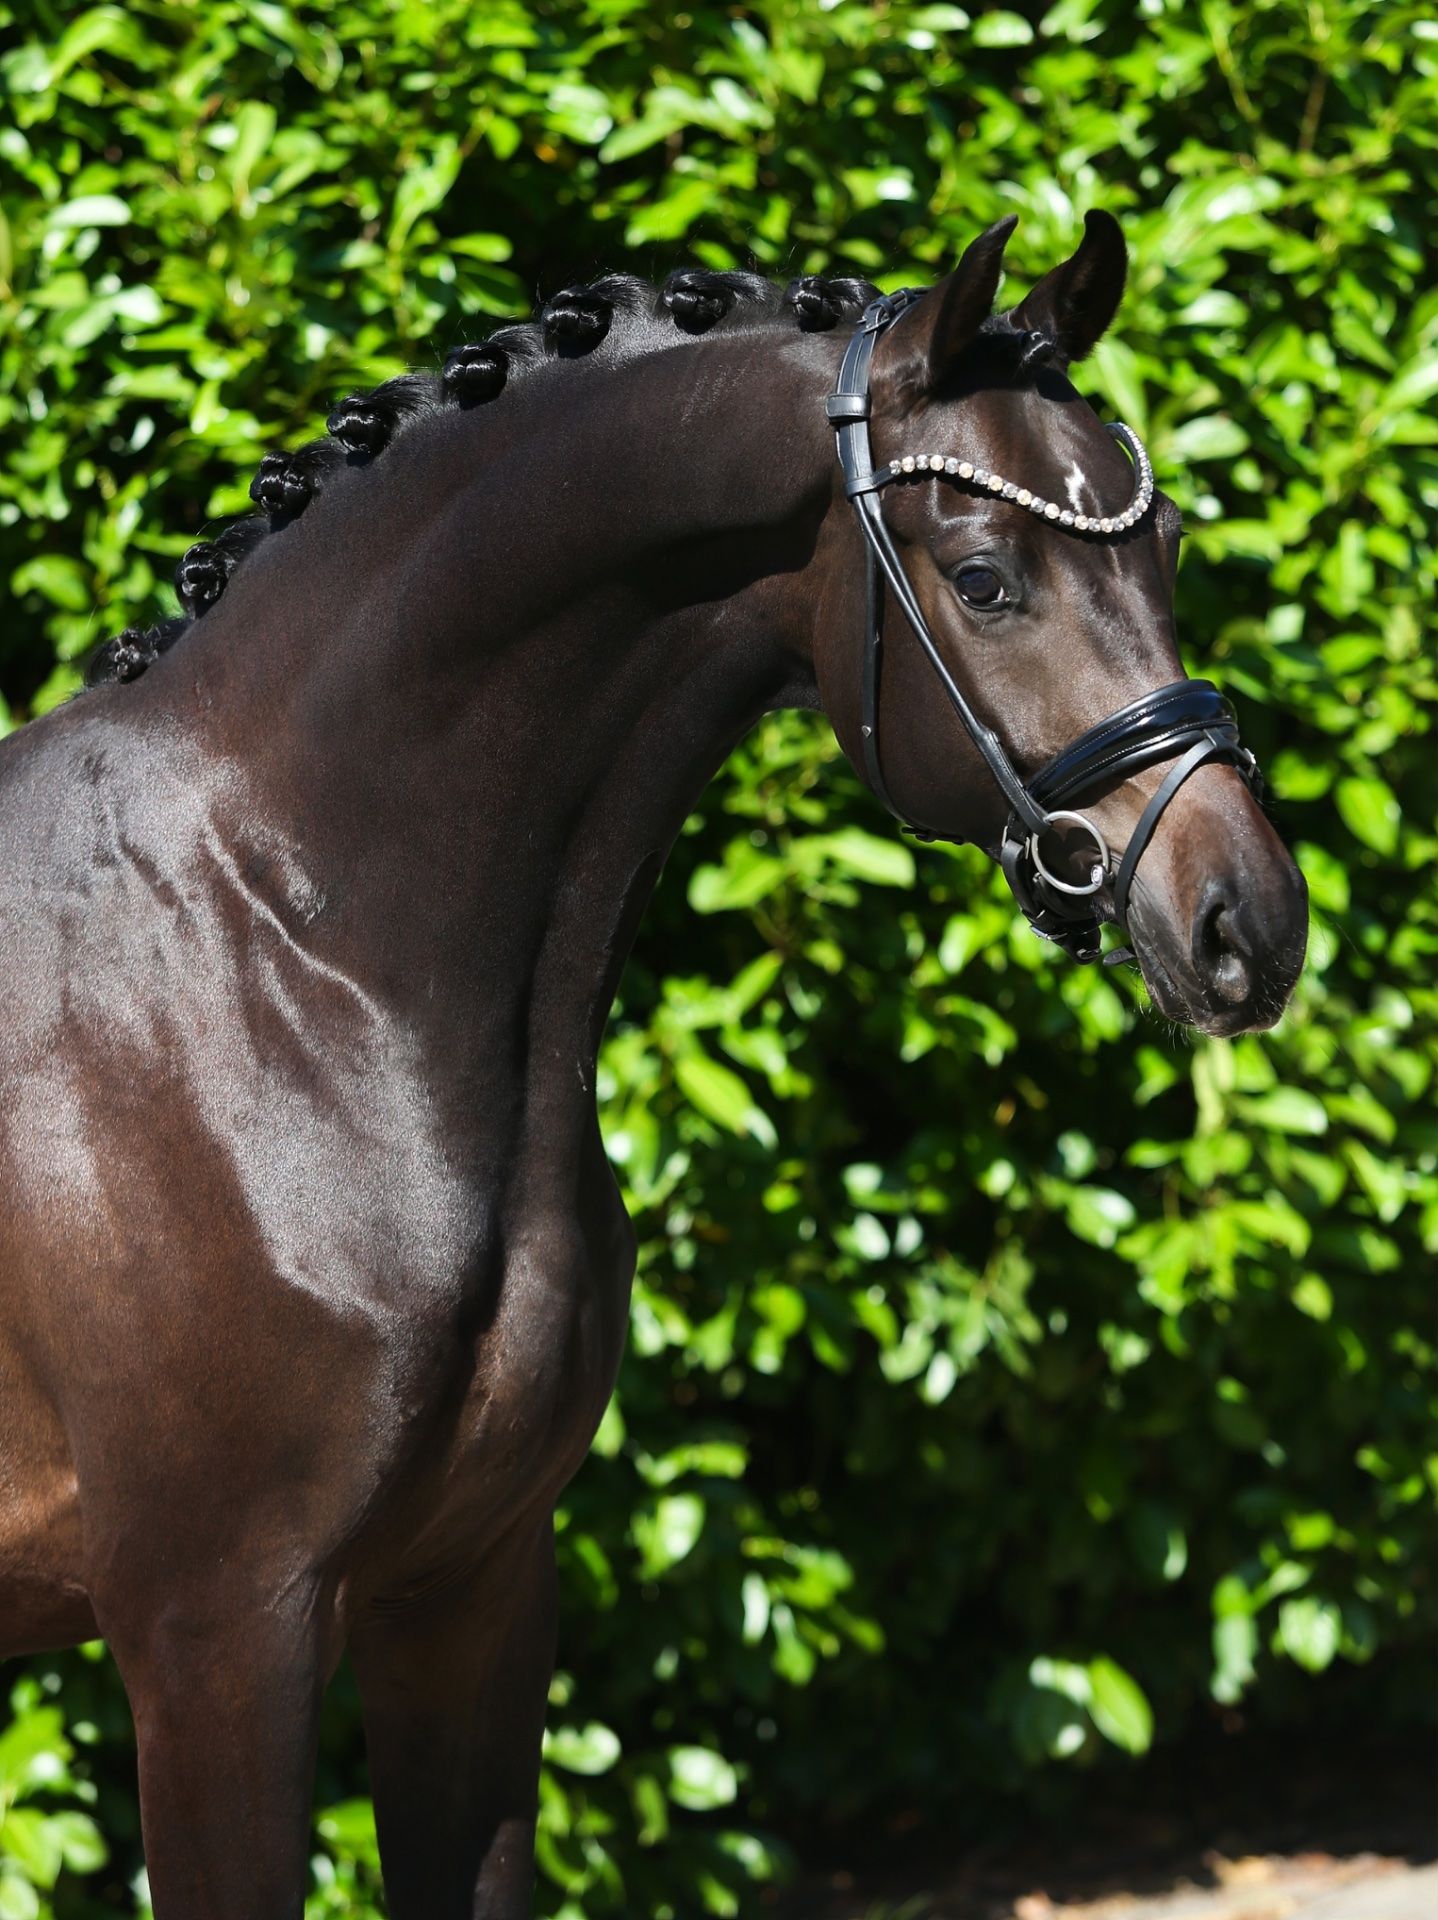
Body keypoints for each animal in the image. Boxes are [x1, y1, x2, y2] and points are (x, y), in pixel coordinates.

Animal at [0, 212, 1307, 1918]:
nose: (1247, 923)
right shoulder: (215, 1634)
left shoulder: (471, 1591)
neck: (272, 946)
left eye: (1165, 554)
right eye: (982, 577)